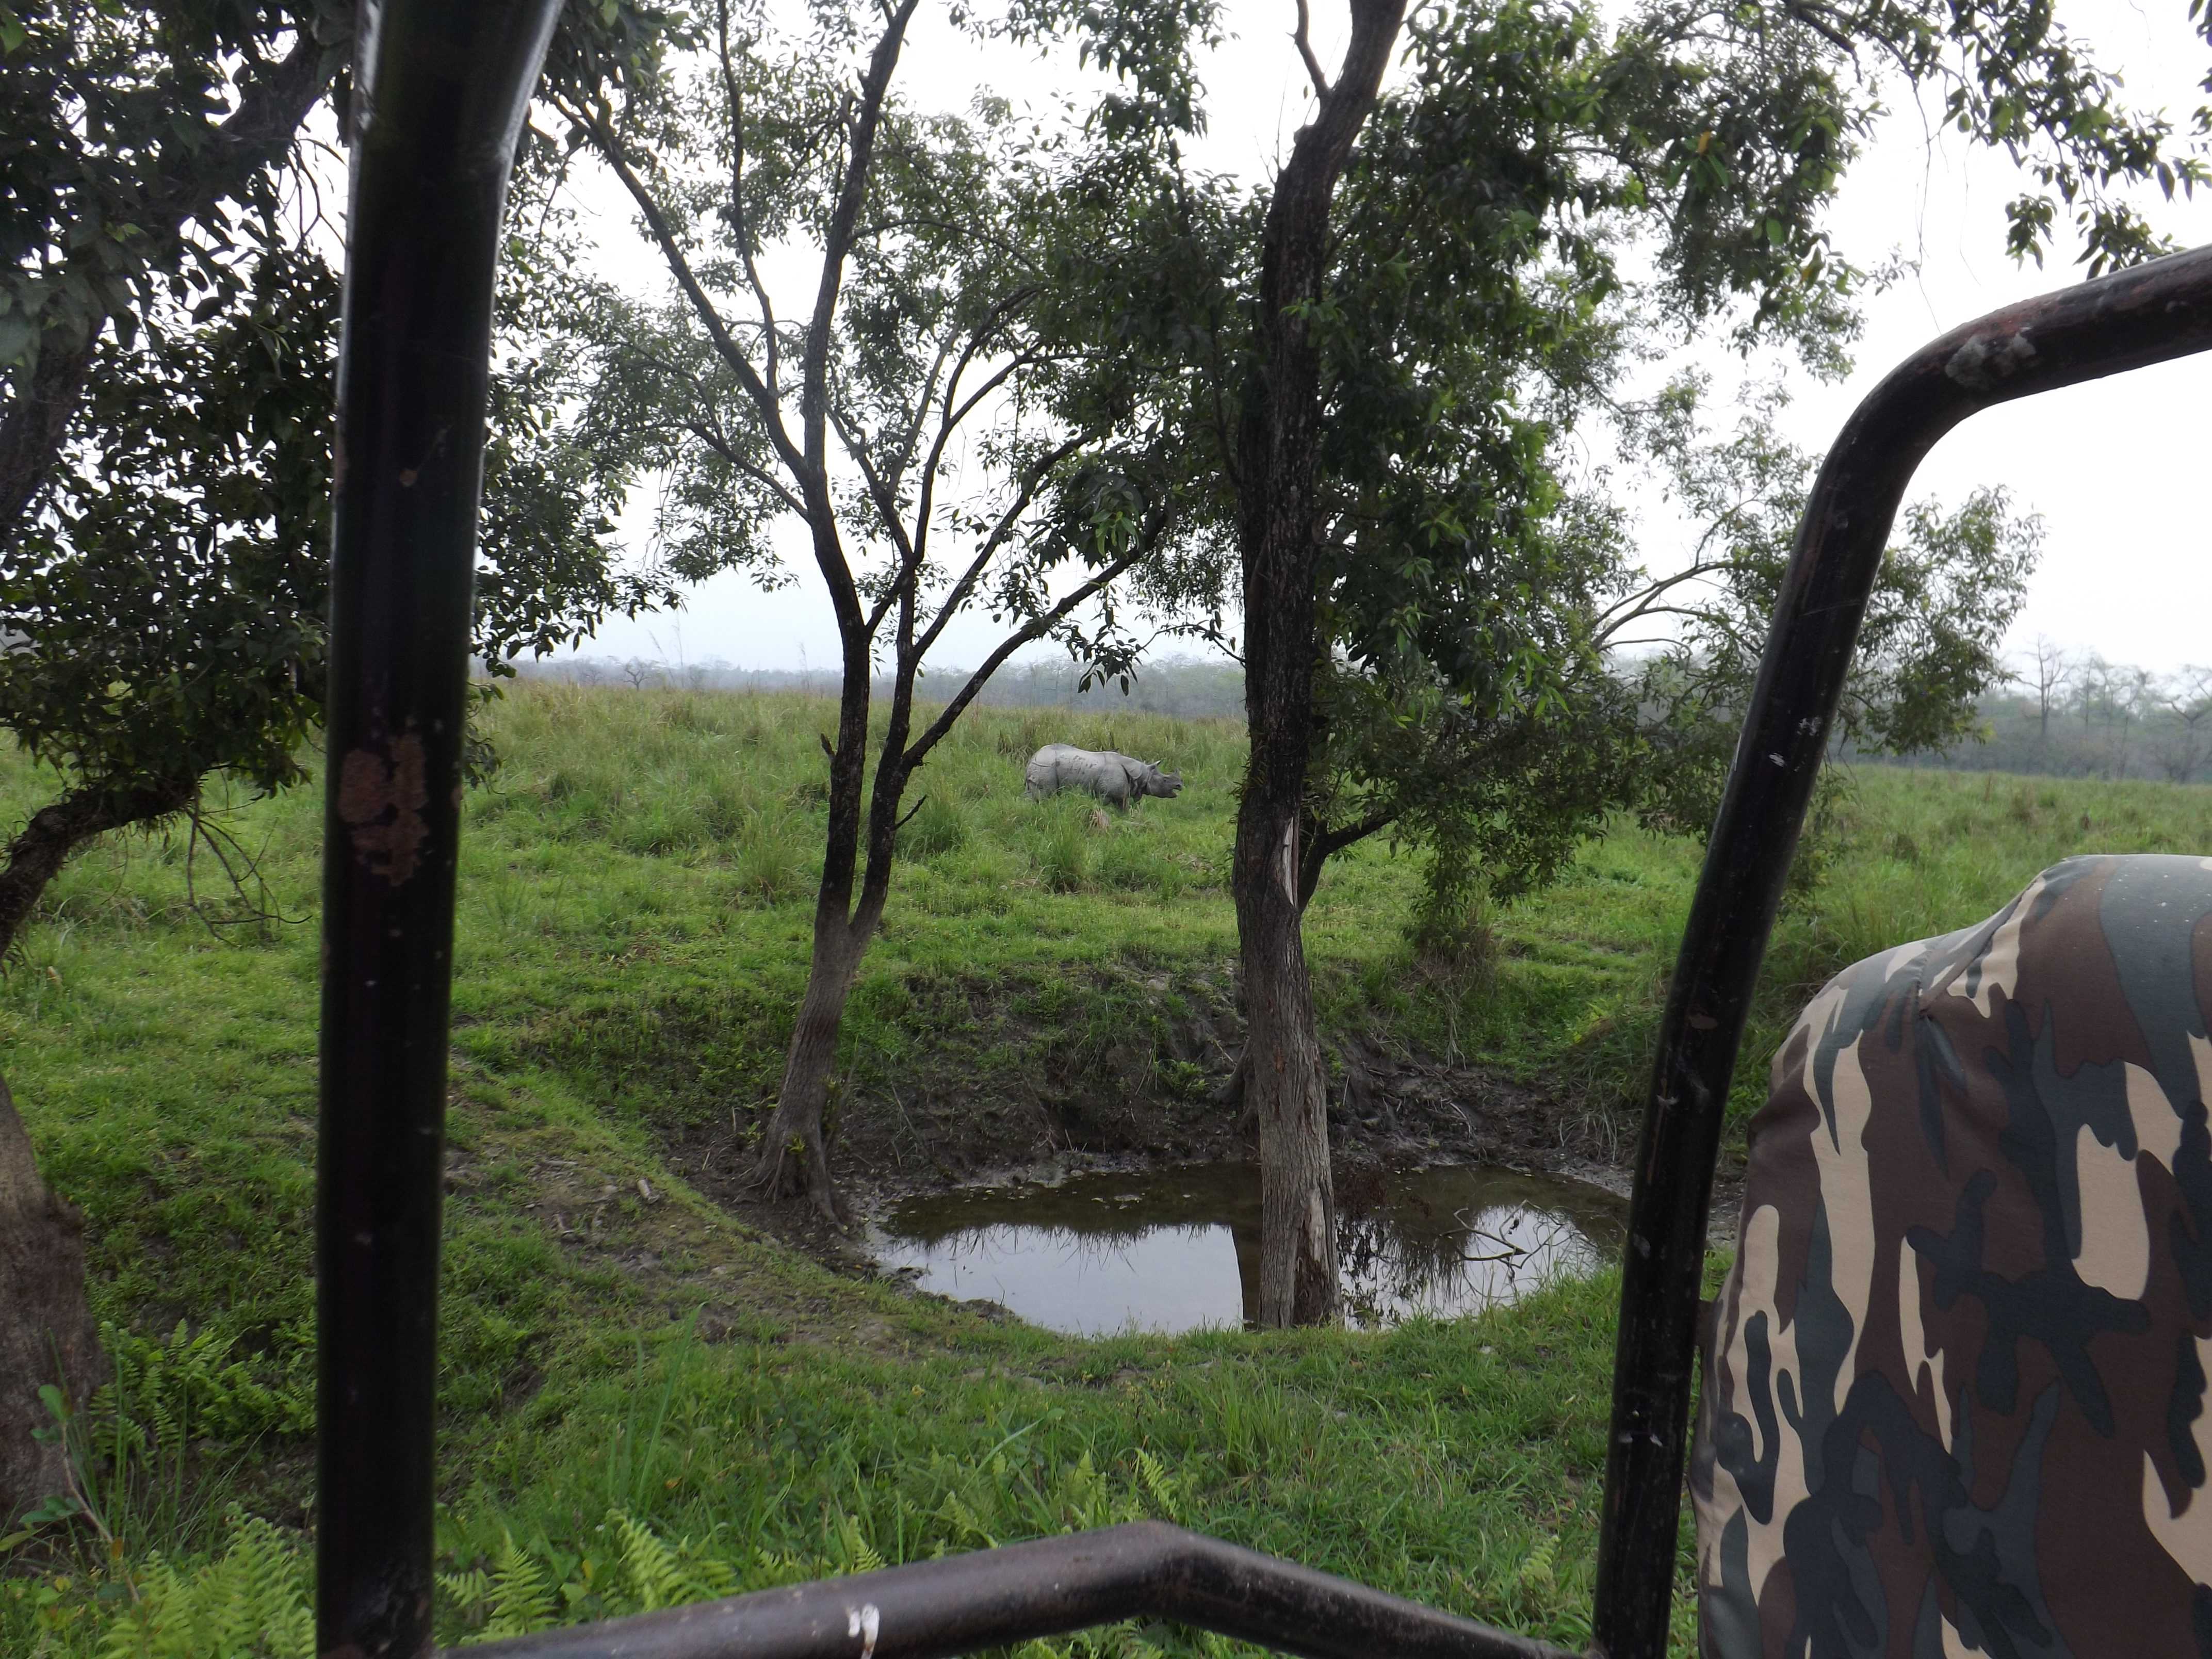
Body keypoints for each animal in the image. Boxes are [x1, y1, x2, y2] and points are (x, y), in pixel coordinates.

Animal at [1024, 744, 1183, 807]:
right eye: (1165, 780)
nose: (1180, 785)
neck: (1142, 775)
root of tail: (1034, 756)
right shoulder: (1106, 793)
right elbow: (1104, 805)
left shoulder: (1121, 794)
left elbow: (1123, 809)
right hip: (1046, 766)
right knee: (1044, 794)